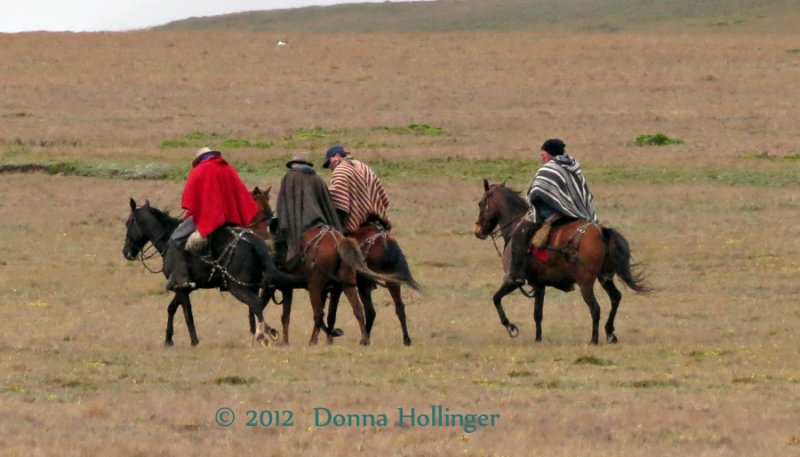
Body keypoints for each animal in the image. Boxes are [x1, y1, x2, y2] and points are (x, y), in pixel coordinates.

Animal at [123, 199, 302, 346]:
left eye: (129, 223)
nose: (126, 252)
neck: (168, 240)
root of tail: (253, 240)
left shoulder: (181, 287)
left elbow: (187, 313)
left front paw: (194, 341)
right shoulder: (183, 287)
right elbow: (172, 308)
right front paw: (168, 339)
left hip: (238, 287)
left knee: (256, 303)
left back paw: (262, 336)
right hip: (251, 286)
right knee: (255, 307)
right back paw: (258, 334)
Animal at [472, 180, 648, 344]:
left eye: (481, 203)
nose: (478, 230)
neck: (515, 226)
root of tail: (601, 232)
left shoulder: (513, 280)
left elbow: (496, 298)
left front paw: (510, 327)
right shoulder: (539, 285)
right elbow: (537, 314)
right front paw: (538, 339)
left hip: (586, 283)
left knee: (595, 308)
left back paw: (594, 340)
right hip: (605, 277)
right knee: (615, 298)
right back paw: (610, 332)